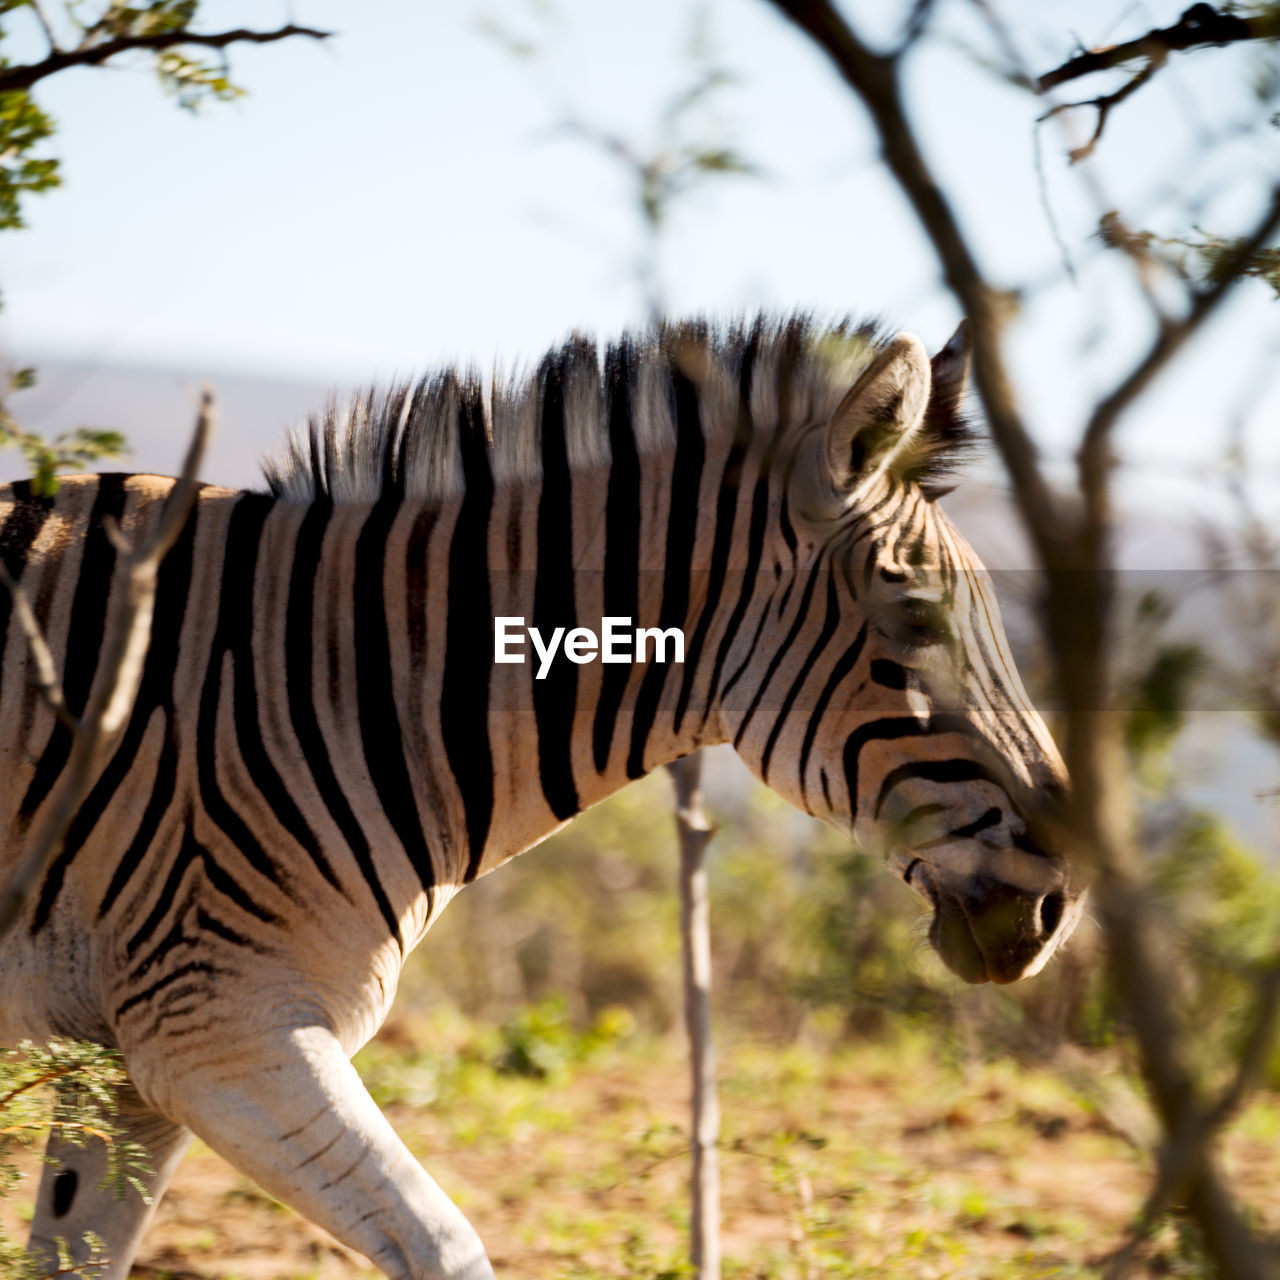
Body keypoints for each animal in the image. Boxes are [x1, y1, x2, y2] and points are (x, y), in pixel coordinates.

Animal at [0, 312, 1080, 1280]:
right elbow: (444, 1246)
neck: (344, 680)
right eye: (916, 620)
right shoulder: (219, 1025)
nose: (1057, 905)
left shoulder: (133, 1061)